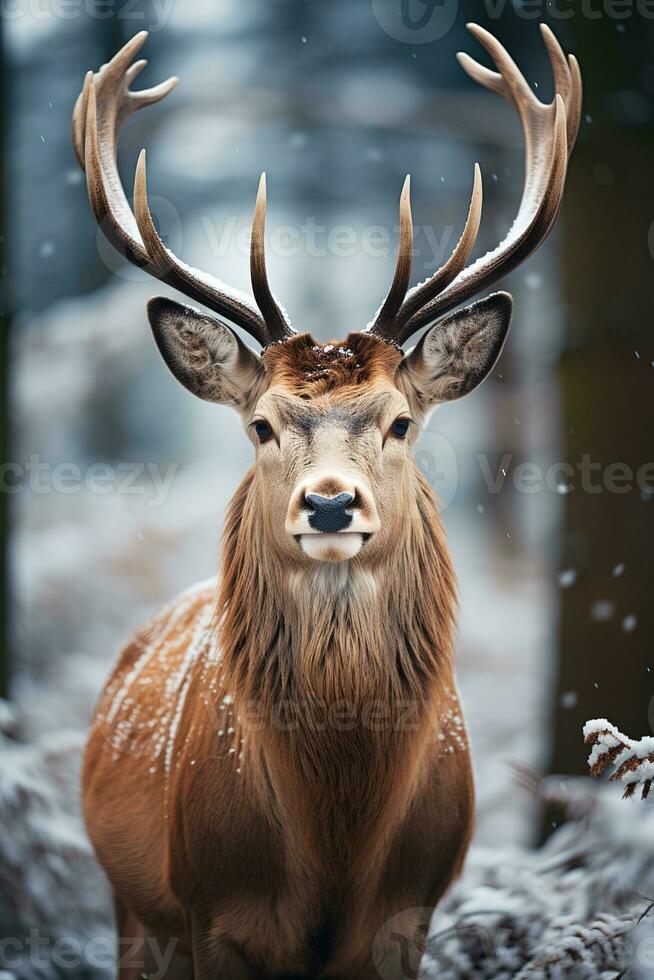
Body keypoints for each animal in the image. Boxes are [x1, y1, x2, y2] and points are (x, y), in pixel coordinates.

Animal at [74, 23, 580, 980]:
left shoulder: (412, 911)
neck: (336, 840)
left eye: (400, 421)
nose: (333, 505)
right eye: (263, 425)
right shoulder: (208, 909)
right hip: (131, 907)